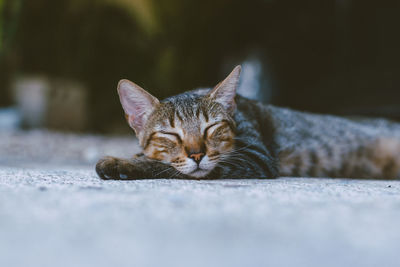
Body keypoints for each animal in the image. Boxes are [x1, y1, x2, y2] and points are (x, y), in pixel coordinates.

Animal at [95, 66, 400, 181]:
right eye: (171, 134)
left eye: (210, 128)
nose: (196, 154)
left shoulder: (253, 156)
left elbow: (164, 166)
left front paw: (123, 163)